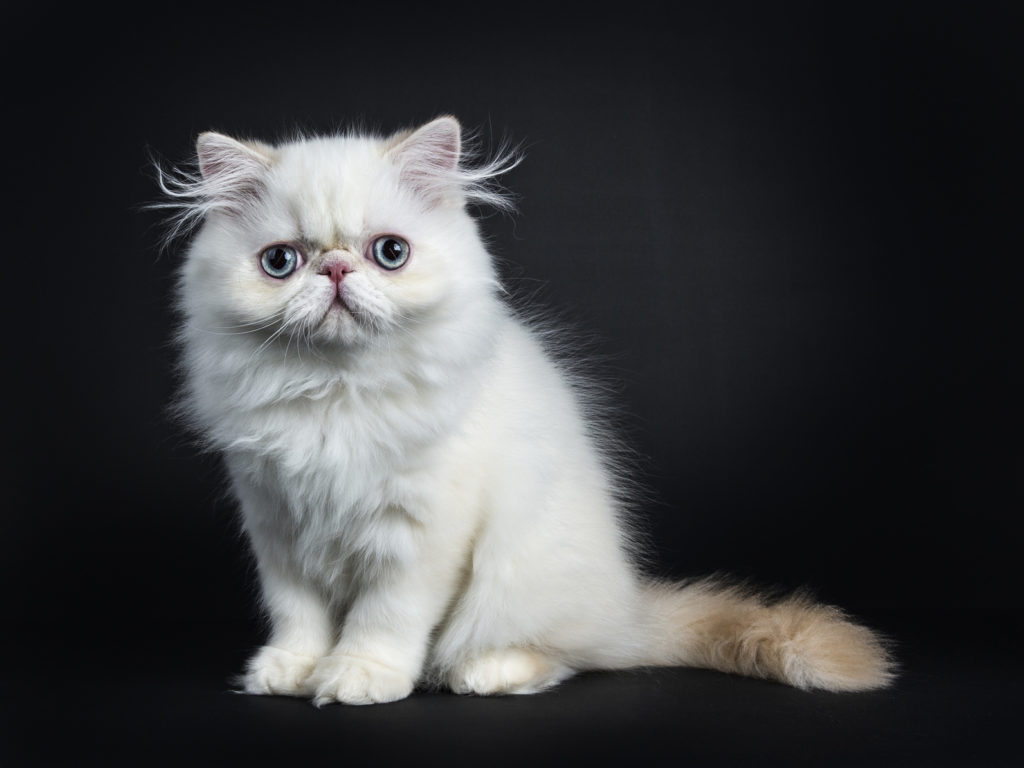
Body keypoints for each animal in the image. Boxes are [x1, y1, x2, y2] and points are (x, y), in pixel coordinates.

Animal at [157, 117, 888, 708]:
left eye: (389, 252)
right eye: (280, 262)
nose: (335, 271)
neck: (335, 393)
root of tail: (629, 608)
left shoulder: (421, 532)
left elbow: (383, 618)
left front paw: (358, 677)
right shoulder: (277, 523)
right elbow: (297, 614)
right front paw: (291, 670)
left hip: (522, 573)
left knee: (567, 656)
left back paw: (481, 672)